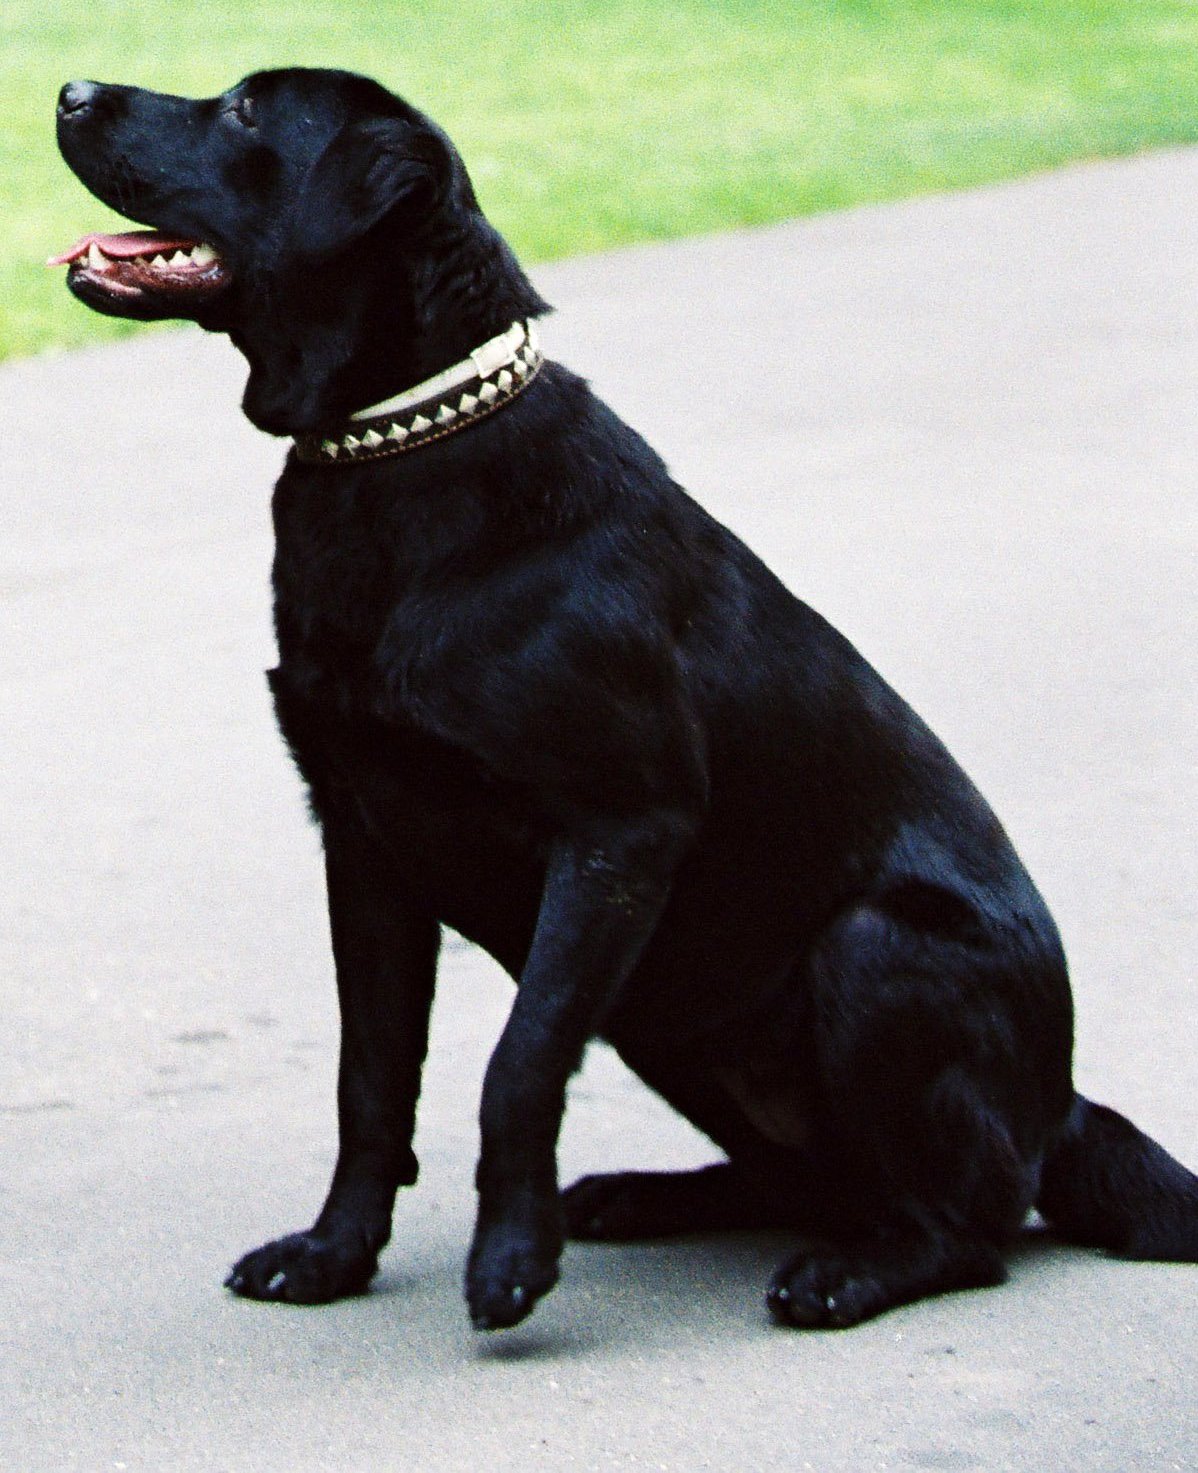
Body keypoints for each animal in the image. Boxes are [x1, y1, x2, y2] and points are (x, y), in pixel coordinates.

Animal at [53, 71, 1196, 1337]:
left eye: (250, 113)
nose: (69, 89)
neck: (398, 448)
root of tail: (1063, 1107)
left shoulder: (620, 833)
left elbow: (516, 1064)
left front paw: (510, 1259)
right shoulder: (362, 840)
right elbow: (370, 1082)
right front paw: (332, 1254)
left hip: (870, 950)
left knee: (972, 1226)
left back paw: (847, 1273)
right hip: (672, 1019)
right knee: (801, 1176)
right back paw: (645, 1195)